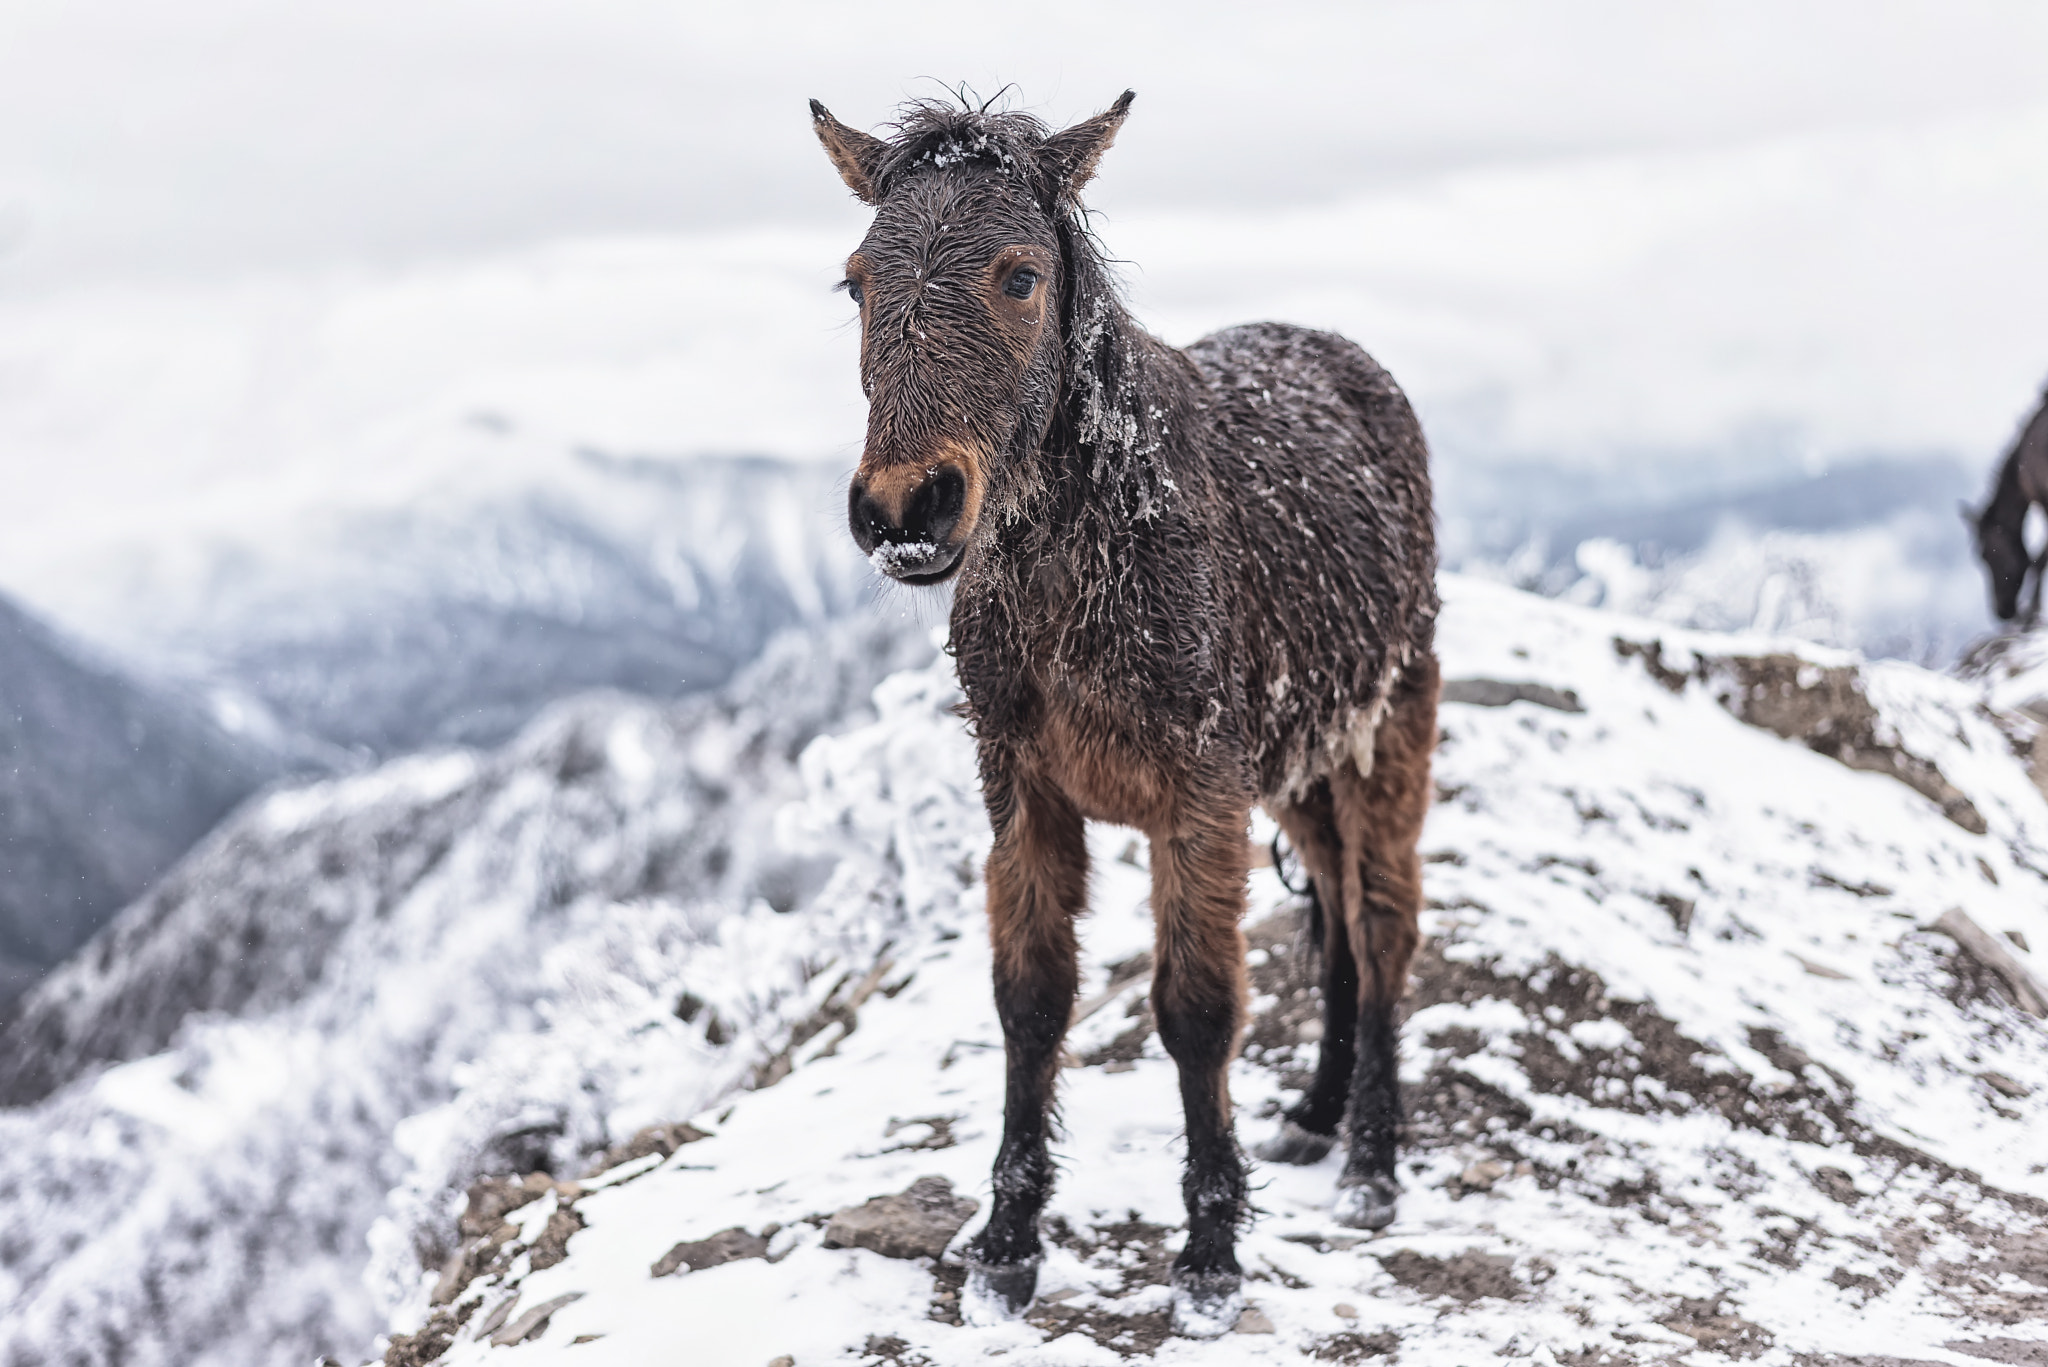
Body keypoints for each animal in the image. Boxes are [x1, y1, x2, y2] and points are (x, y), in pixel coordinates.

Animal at [806, 93, 1433, 1336]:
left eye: (1018, 274)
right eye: (855, 282)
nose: (905, 507)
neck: (1092, 552)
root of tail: (1350, 361)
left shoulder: (1197, 795)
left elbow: (1195, 1008)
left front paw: (1209, 1254)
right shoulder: (1021, 791)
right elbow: (1029, 999)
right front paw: (1006, 1243)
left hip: (1385, 731)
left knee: (1382, 921)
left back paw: (1372, 1157)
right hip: (1296, 771)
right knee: (1337, 919)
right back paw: (1316, 1113)